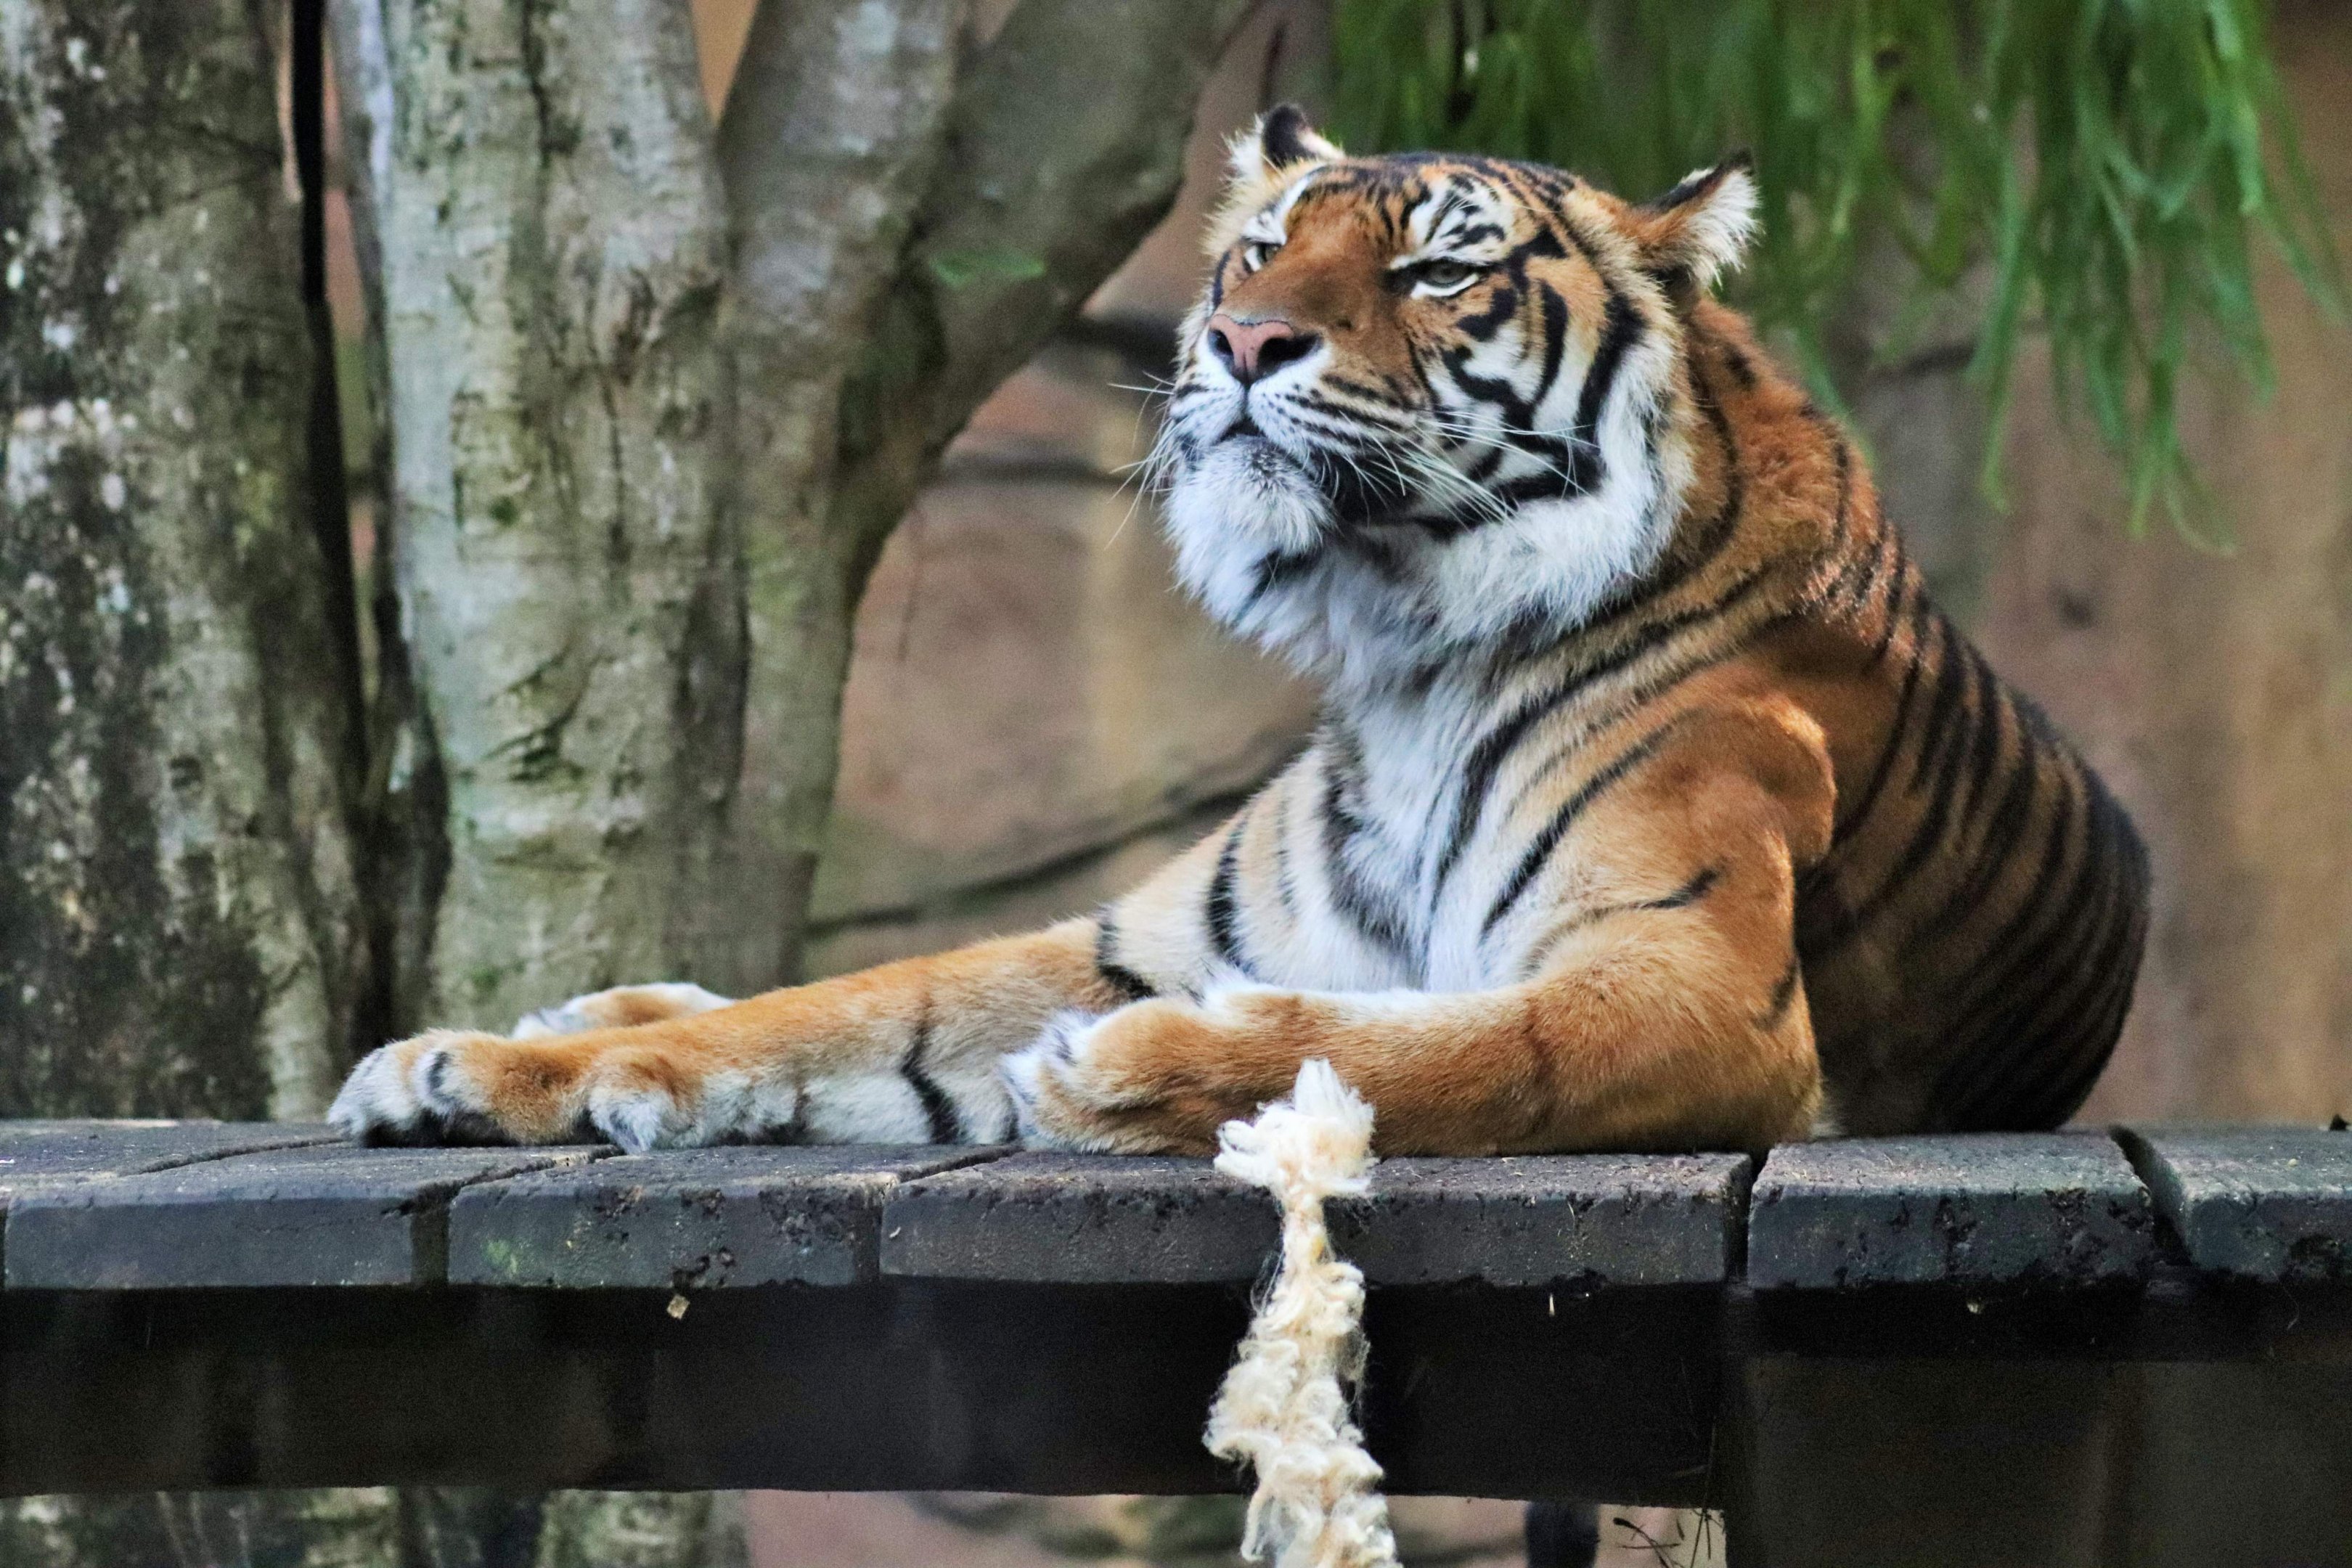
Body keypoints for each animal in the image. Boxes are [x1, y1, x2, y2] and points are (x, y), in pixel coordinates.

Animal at [331, 106, 2151, 1159]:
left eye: (1435, 273)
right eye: (1268, 246)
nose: (1241, 339)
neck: (1406, 634)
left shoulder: (1689, 983)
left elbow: (1445, 1051)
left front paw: (1123, 1076)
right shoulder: (1138, 933)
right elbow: (855, 1003)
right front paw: (469, 1067)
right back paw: (572, 1020)